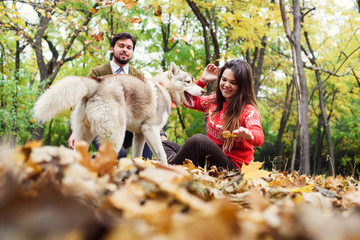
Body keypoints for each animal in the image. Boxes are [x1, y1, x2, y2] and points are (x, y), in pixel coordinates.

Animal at [33, 63, 205, 165]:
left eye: (193, 80)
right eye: (188, 81)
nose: (203, 91)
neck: (165, 88)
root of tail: (98, 82)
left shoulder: (140, 134)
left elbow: (137, 156)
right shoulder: (151, 130)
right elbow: (162, 156)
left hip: (84, 136)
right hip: (116, 136)